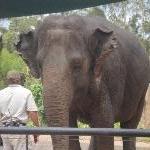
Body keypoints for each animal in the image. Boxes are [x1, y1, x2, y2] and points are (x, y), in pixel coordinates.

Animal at [14, 15, 149, 150]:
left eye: (77, 65)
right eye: (40, 65)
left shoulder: (109, 78)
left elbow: (104, 127)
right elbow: (70, 126)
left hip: (141, 92)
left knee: (129, 126)